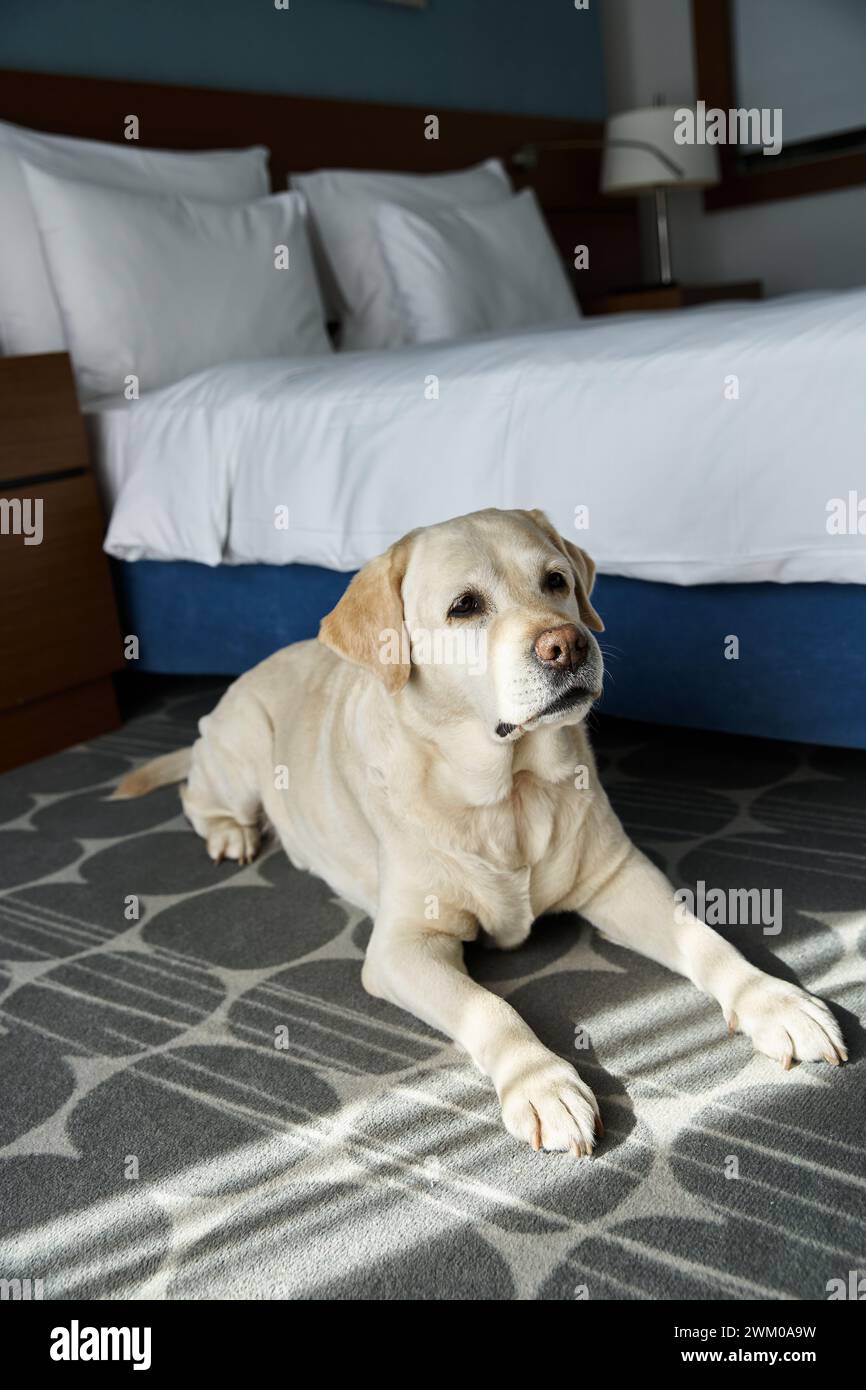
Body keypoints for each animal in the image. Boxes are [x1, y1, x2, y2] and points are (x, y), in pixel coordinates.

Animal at [115, 508, 845, 1150]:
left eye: (556, 581)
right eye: (464, 607)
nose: (568, 644)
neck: (509, 791)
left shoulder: (621, 878)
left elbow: (705, 937)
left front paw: (774, 1000)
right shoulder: (404, 946)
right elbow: (489, 1008)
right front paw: (541, 1084)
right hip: (241, 744)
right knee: (196, 789)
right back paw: (231, 832)